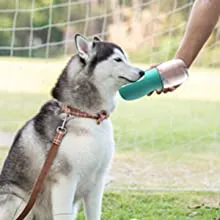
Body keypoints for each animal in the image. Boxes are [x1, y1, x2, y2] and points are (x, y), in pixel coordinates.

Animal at [0, 34, 144, 220]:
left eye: (126, 58)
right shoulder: (65, 180)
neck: (86, 115)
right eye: (118, 59)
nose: (142, 72)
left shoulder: (97, 180)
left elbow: (94, 213)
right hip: (17, 200)